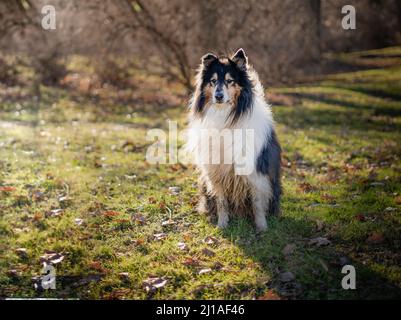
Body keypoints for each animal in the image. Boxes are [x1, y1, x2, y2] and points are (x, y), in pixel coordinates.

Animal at [186, 48, 280, 231]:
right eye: (213, 81)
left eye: (230, 81)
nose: (218, 96)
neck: (226, 115)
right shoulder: (216, 171)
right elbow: (221, 201)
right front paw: (222, 224)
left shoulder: (255, 172)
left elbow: (257, 202)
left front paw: (261, 227)